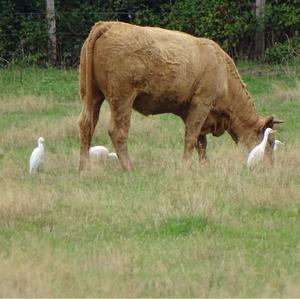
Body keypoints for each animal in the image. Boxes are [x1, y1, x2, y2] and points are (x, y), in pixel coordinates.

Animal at [78, 21, 282, 171]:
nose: (271, 165)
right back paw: (129, 167)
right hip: (122, 99)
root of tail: (108, 25)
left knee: (87, 125)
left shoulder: (195, 113)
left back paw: (84, 167)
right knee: (118, 131)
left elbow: (201, 141)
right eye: (269, 142)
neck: (223, 71)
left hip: (92, 96)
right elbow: (191, 138)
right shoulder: (201, 104)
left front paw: (204, 165)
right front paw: (186, 166)